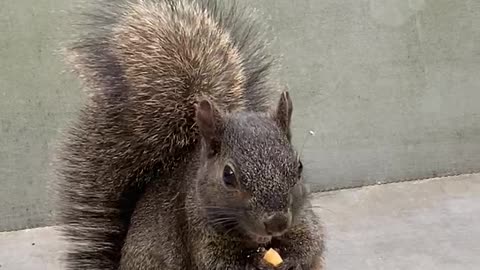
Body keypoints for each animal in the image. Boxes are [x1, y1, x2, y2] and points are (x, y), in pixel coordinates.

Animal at [55, 0, 326, 270]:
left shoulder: (302, 217)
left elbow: (311, 241)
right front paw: (256, 264)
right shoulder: (197, 229)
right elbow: (217, 262)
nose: (276, 222)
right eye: (228, 175)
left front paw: (293, 260)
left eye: (299, 167)